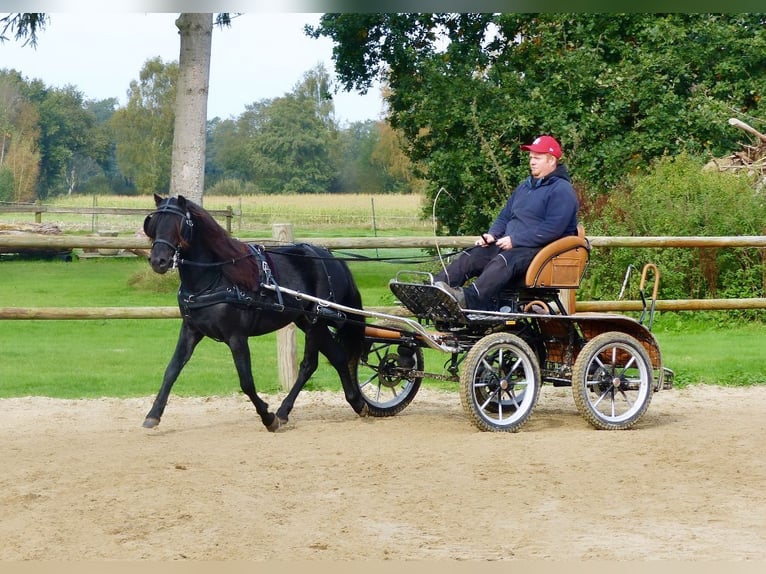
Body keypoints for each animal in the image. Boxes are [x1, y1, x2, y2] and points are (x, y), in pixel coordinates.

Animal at [145, 195, 372, 432]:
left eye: (178, 225)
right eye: (154, 224)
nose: (158, 261)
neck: (215, 278)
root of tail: (330, 256)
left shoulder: (236, 336)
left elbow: (246, 382)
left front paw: (267, 417)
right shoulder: (190, 330)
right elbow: (171, 370)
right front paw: (153, 415)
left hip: (315, 322)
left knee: (311, 364)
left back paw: (288, 411)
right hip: (305, 320)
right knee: (336, 357)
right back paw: (353, 402)